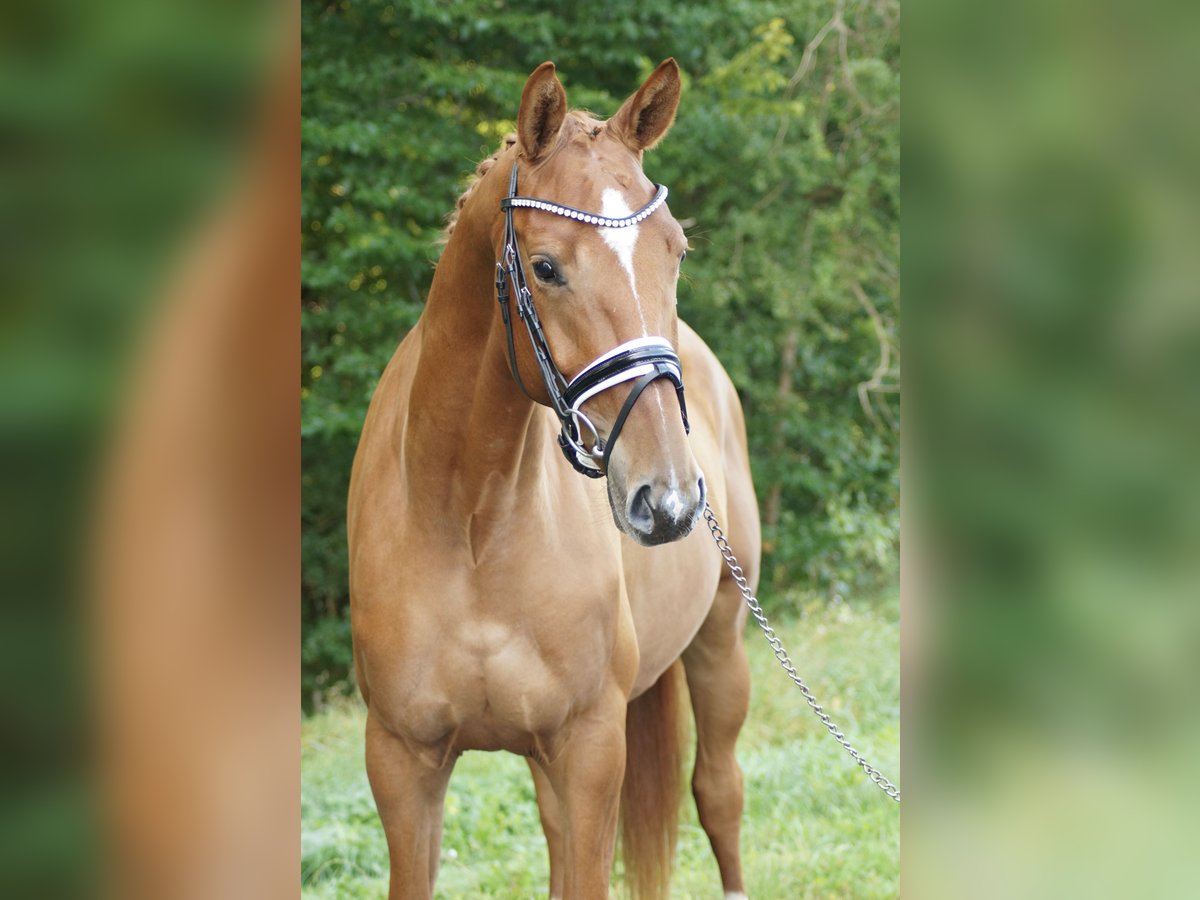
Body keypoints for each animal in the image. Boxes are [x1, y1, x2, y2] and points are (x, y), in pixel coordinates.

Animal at [348, 60, 758, 897]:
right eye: (546, 267)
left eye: (675, 251)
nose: (668, 500)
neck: (470, 515)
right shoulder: (401, 764)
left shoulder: (590, 748)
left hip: (721, 641)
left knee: (719, 795)